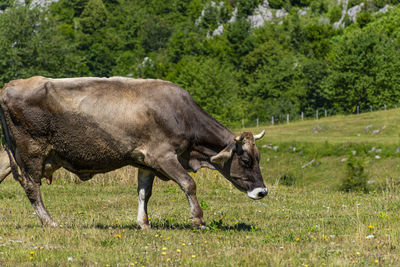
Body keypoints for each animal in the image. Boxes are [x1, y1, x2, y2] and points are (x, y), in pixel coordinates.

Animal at [0, 77, 268, 230]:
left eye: (258, 159)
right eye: (246, 160)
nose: (262, 192)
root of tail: (10, 85)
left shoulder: (145, 162)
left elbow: (143, 193)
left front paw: (144, 223)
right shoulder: (163, 156)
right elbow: (188, 184)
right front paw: (199, 220)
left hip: (14, 152)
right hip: (31, 151)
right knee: (32, 187)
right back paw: (49, 222)